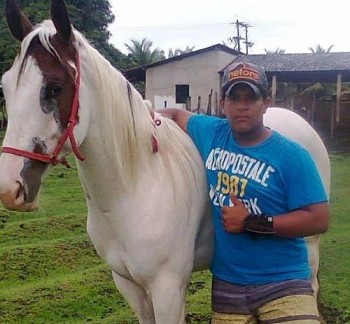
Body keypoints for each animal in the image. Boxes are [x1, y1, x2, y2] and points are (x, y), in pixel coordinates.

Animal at [0, 1, 328, 322]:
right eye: (5, 87)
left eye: (54, 87)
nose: (9, 189)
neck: (134, 187)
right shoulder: (128, 284)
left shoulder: (167, 289)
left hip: (309, 245)